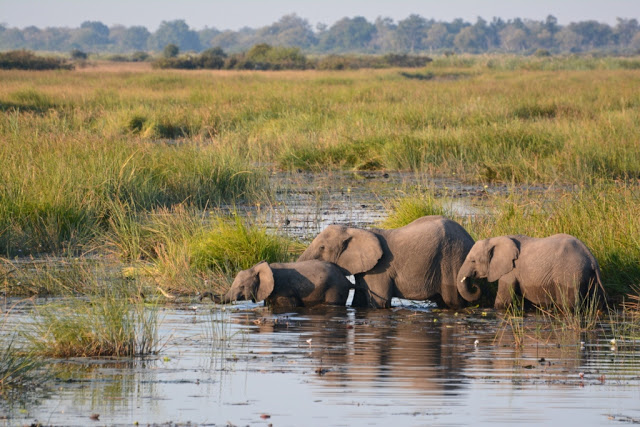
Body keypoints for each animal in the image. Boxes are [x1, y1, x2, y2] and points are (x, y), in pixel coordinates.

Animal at [298, 216, 478, 310]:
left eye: (322, 247)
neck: (356, 231)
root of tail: (470, 238)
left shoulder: (380, 268)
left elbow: (380, 302)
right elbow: (359, 302)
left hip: (452, 259)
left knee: (453, 300)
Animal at [458, 234, 604, 310]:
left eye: (473, 261)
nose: (475, 285)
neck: (496, 239)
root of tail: (591, 259)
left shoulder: (510, 271)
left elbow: (502, 302)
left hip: (570, 273)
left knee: (568, 304)